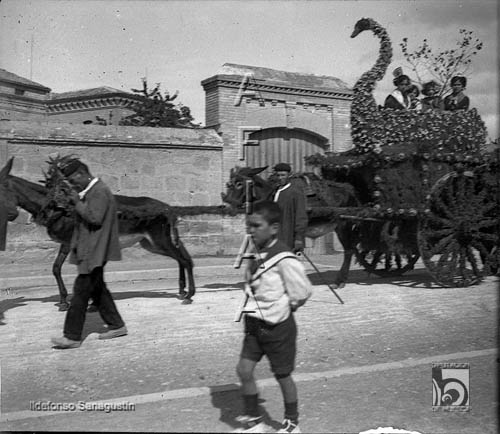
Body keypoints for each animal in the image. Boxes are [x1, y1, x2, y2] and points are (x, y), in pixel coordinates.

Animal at [0, 157, 195, 310]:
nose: (11, 215)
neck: (56, 208)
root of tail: (168, 207)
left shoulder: (71, 243)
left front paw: (82, 302)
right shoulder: (66, 244)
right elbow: (56, 268)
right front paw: (65, 301)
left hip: (159, 240)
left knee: (184, 260)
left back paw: (188, 295)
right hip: (151, 243)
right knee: (181, 258)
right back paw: (181, 291)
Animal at [221, 166, 361, 288]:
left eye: (239, 184)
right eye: (228, 184)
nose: (228, 207)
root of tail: (350, 191)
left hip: (344, 225)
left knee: (349, 250)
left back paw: (339, 281)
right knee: (351, 248)